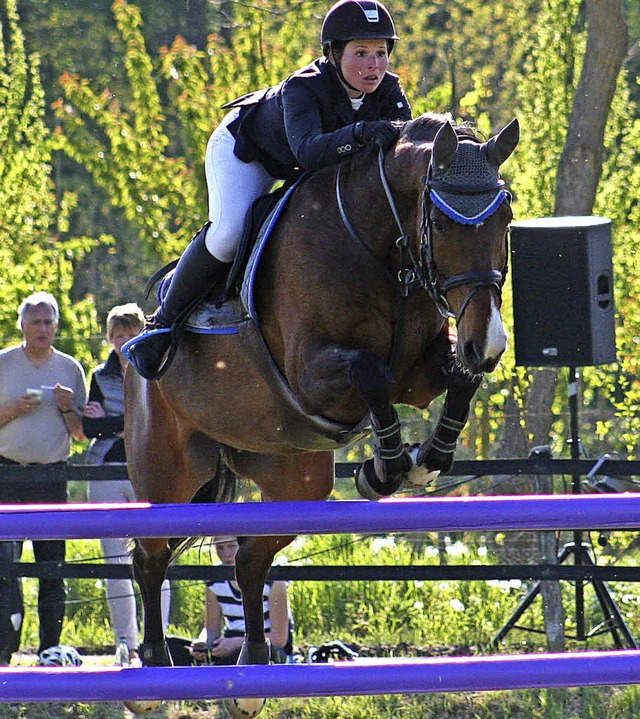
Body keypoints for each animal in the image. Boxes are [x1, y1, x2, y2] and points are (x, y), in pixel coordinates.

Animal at [124, 111, 520, 716]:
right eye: (441, 223)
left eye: (506, 218)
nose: (490, 345)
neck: (380, 246)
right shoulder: (312, 374)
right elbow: (371, 374)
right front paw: (386, 468)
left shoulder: (422, 368)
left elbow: (457, 377)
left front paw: (427, 459)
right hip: (166, 469)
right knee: (149, 555)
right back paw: (150, 674)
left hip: (296, 479)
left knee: (250, 559)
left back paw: (250, 674)